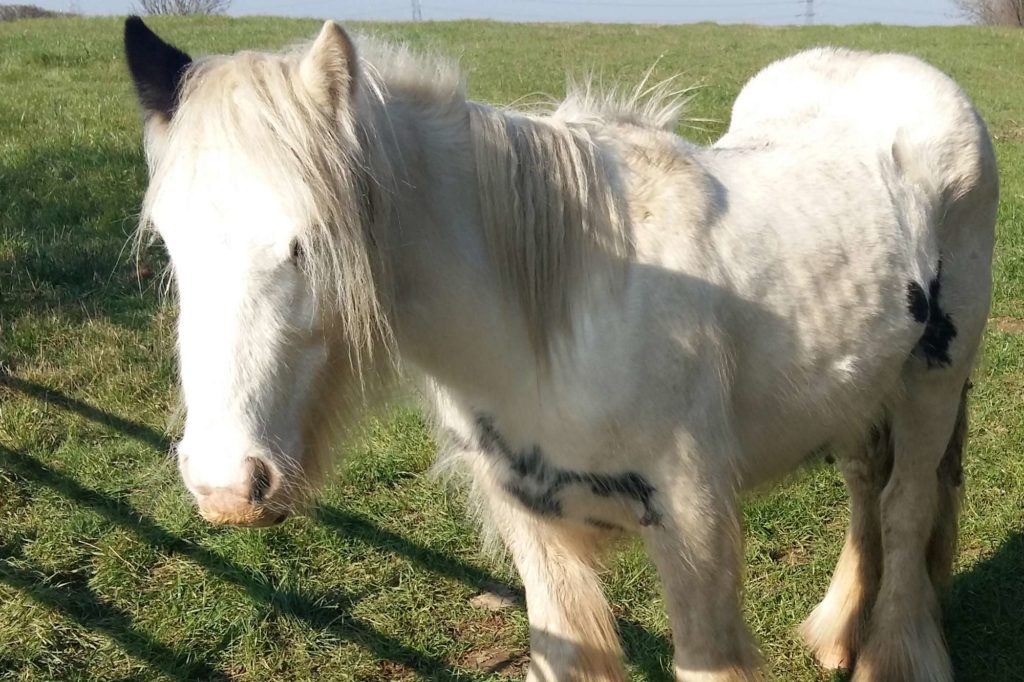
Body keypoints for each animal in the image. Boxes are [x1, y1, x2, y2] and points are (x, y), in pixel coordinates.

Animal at [123, 18, 995, 679]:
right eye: (167, 241)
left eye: (309, 243)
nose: (225, 484)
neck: (558, 320)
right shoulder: (536, 532)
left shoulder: (695, 526)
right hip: (857, 392)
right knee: (865, 492)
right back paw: (838, 634)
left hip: (932, 383)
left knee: (906, 504)